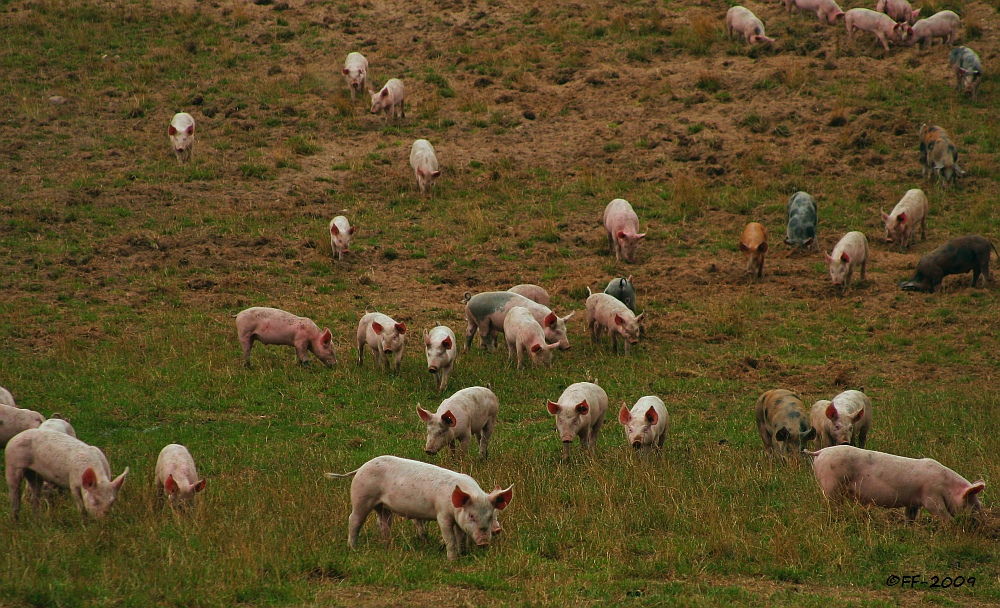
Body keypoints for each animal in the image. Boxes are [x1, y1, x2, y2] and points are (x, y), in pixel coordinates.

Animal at [326, 456, 516, 560]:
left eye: (491, 516)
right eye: (471, 516)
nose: (484, 542)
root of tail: (361, 467)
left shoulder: (457, 519)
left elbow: (461, 536)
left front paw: (463, 553)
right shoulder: (442, 515)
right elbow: (450, 538)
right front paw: (453, 559)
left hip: (383, 506)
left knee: (383, 524)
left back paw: (387, 547)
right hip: (362, 496)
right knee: (354, 520)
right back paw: (353, 548)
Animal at [812, 442, 984, 524]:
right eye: (973, 504)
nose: (981, 523)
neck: (947, 486)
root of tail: (820, 452)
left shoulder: (913, 502)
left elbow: (910, 515)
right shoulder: (931, 496)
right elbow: (942, 513)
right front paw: (952, 525)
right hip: (831, 484)